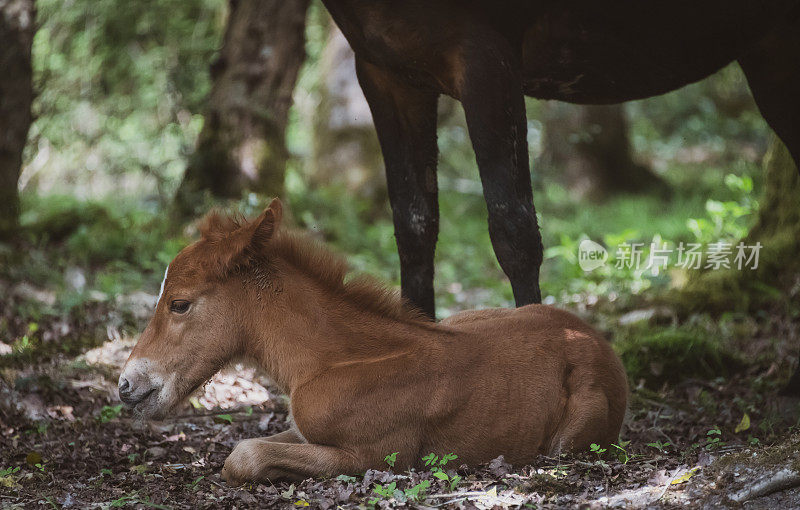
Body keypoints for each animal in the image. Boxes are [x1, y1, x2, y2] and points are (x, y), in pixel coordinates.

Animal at [119, 199, 628, 482]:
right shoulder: (304, 429)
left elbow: (243, 456)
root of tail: (600, 343)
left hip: (570, 440)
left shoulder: (375, 456)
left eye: (179, 304)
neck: (332, 362)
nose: (126, 385)